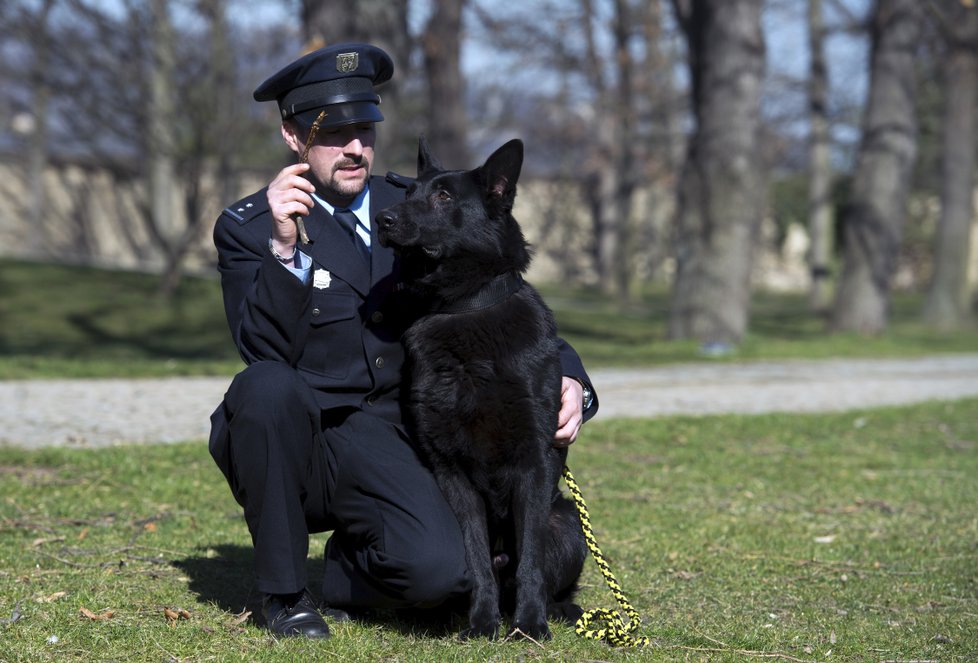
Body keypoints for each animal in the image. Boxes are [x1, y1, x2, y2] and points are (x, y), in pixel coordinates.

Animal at [378, 140, 584, 644]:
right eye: (409, 192)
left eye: (444, 197)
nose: (382, 219)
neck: (463, 309)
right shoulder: (452, 472)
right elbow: (474, 559)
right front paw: (482, 623)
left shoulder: (534, 463)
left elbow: (530, 561)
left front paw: (528, 624)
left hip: (566, 522)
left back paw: (555, 610)